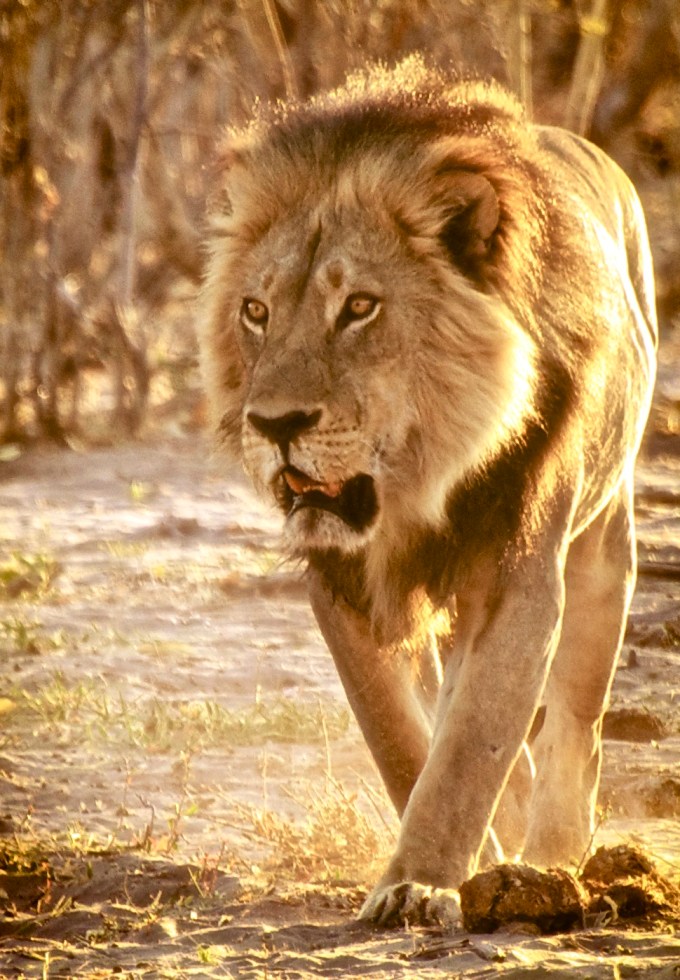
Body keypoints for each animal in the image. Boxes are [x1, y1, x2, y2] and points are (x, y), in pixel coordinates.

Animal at [199, 58, 657, 927]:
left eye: (359, 307)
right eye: (256, 311)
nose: (274, 424)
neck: (416, 492)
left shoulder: (521, 572)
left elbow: (474, 737)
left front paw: (421, 884)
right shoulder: (340, 582)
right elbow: (401, 739)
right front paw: (436, 868)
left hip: (604, 543)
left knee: (575, 723)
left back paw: (556, 855)